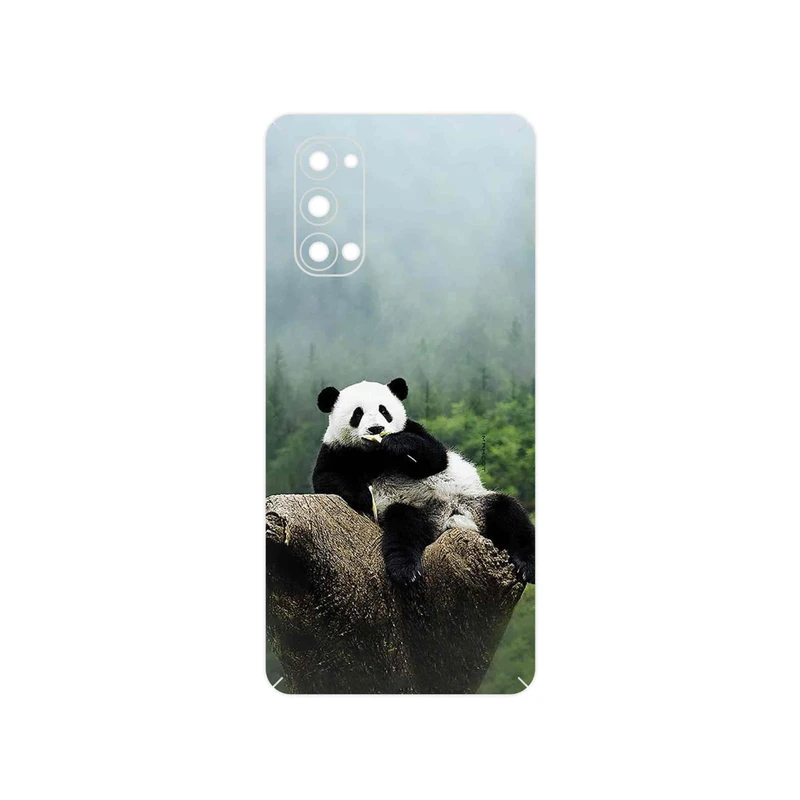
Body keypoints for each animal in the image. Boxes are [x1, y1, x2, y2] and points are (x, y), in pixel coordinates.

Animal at [312, 377, 535, 585]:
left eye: (384, 410)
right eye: (357, 414)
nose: (376, 429)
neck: (376, 454)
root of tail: (450, 517)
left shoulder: (413, 429)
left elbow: (436, 457)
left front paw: (397, 443)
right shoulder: (336, 450)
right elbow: (326, 478)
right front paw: (365, 497)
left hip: (474, 501)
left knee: (509, 514)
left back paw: (528, 566)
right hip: (415, 509)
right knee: (404, 527)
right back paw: (406, 570)